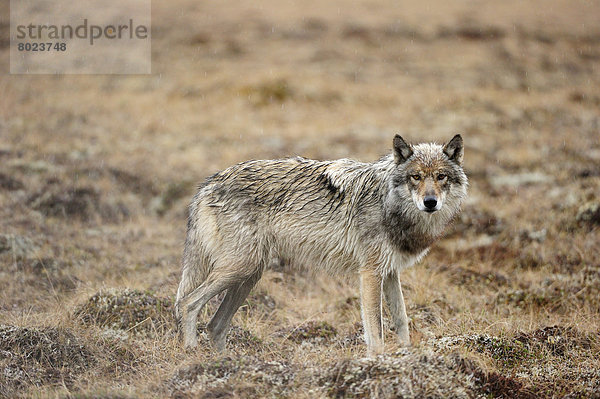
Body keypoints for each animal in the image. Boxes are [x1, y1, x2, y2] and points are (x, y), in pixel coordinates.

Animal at [176, 134, 466, 356]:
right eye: (416, 177)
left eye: (441, 177)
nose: (430, 202)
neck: (388, 203)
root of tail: (208, 184)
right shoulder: (370, 274)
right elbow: (376, 330)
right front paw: (378, 361)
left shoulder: (391, 273)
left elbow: (402, 320)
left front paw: (408, 357)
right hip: (240, 269)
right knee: (187, 303)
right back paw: (193, 355)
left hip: (248, 275)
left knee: (215, 325)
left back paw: (225, 365)